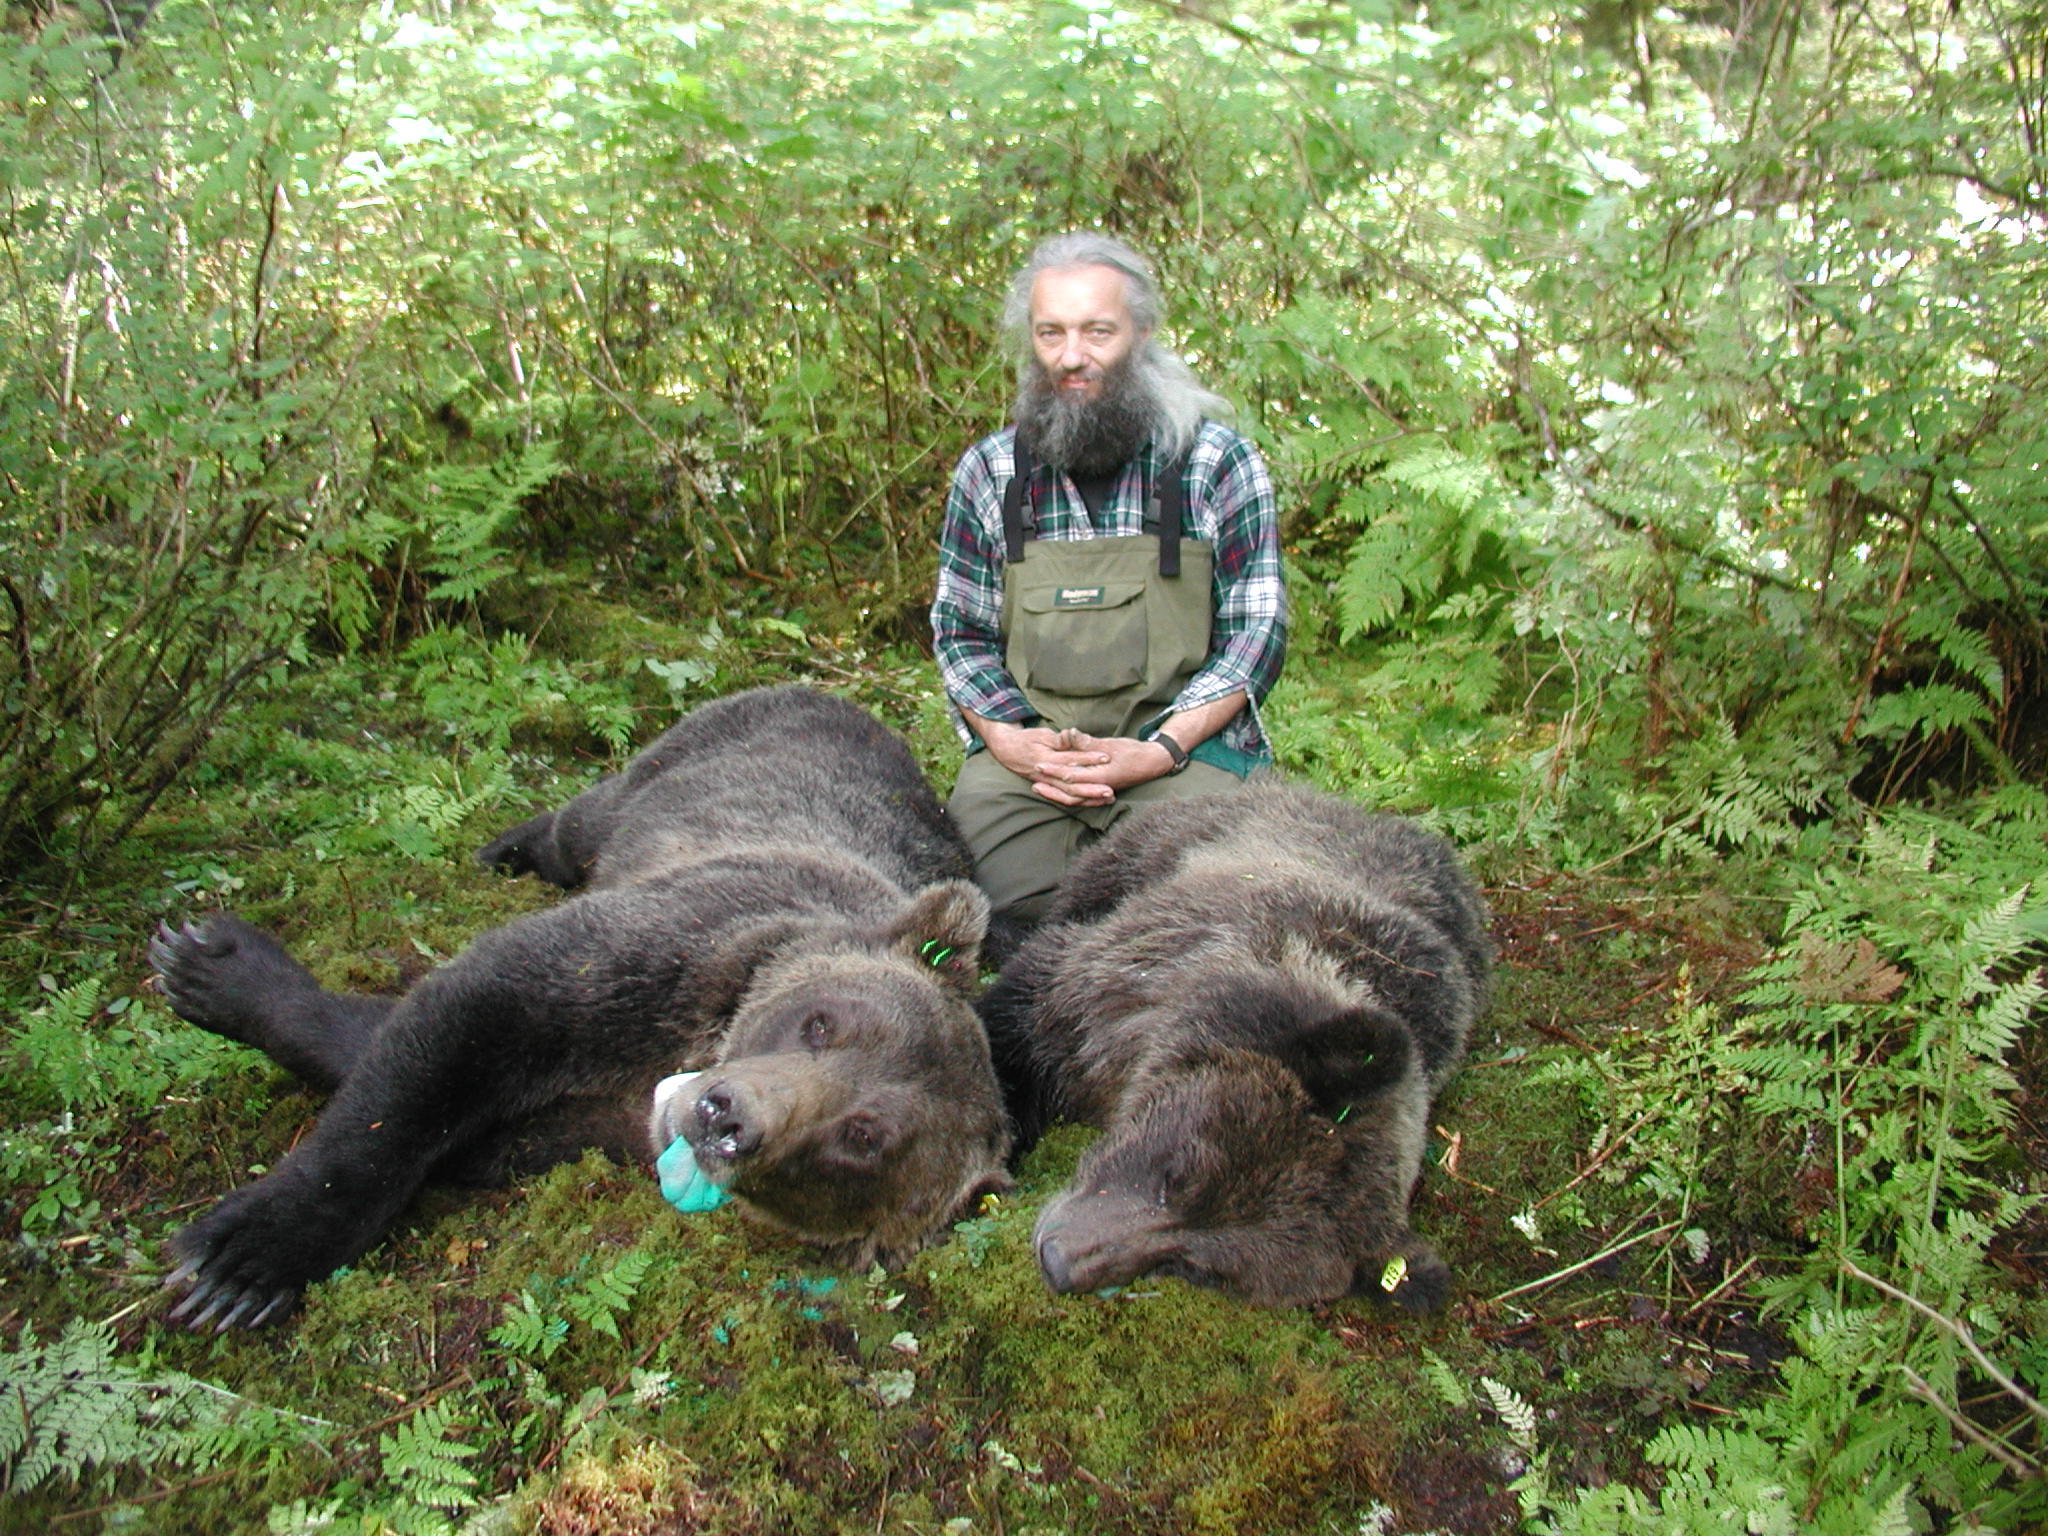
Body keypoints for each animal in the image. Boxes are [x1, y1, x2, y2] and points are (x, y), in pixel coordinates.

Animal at [148, 688, 1011, 1335]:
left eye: (864, 1137)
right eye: (822, 1021)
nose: (724, 1115)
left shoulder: (588, 1126)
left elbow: (456, 1109)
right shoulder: (679, 948)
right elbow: (451, 1035)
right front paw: (240, 1257)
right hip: (679, 767)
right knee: (577, 824)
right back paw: (507, 847)